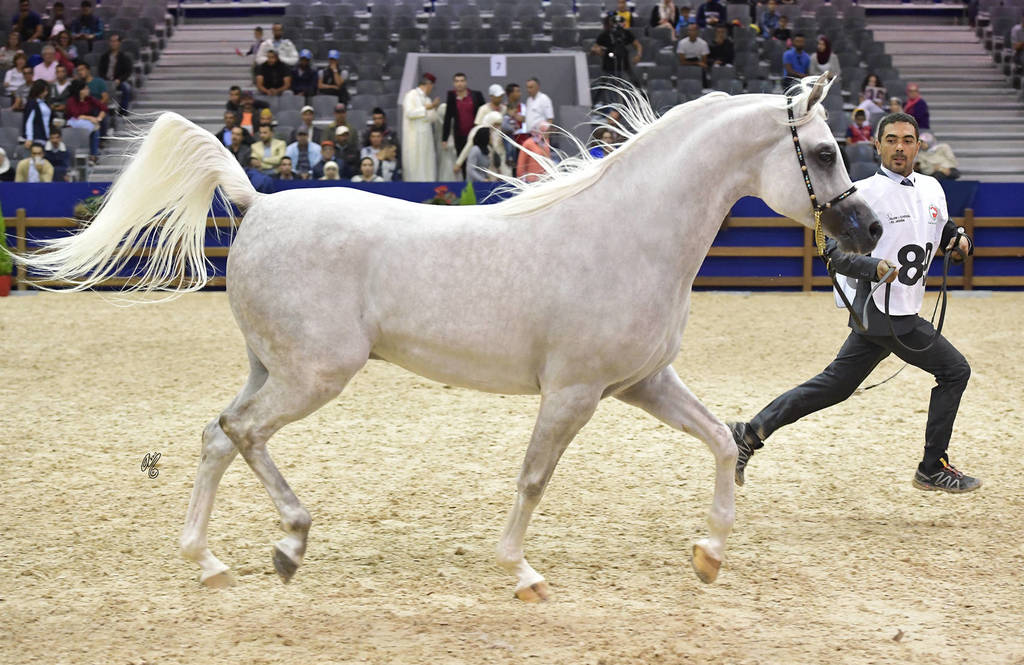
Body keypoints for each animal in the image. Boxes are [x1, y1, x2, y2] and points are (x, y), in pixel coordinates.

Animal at [12, 73, 881, 601]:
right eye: (825, 151)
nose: (871, 230)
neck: (632, 231)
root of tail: (257, 202)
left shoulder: (642, 383)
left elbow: (725, 442)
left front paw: (710, 553)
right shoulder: (573, 393)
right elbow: (533, 479)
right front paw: (523, 572)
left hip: (272, 368)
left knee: (215, 436)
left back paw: (213, 561)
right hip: (313, 375)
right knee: (241, 432)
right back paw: (289, 540)